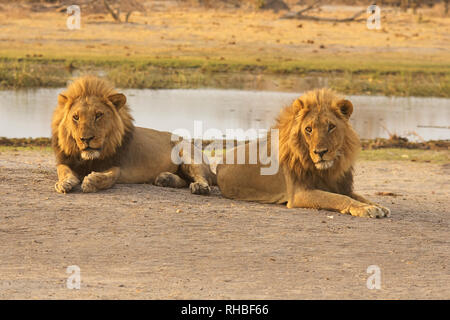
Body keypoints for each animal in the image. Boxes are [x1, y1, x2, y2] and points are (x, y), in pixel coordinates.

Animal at [51, 76, 216, 194]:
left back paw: (200, 187)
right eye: (76, 117)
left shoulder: (116, 166)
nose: (86, 139)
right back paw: (165, 179)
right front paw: (64, 183)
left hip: (188, 153)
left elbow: (108, 177)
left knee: (203, 178)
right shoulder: (65, 161)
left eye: (98, 115)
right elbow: (63, 171)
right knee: (185, 180)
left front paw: (91, 181)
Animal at [217, 87, 390, 218]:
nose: (320, 152)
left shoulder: (342, 186)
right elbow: (337, 198)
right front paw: (366, 208)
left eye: (331, 127)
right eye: (308, 129)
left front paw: (377, 205)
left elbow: (355, 195)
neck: (327, 171)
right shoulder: (299, 193)